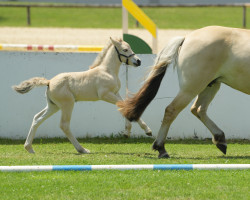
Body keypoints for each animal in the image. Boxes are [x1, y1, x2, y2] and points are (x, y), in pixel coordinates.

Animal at [13, 37, 151, 153]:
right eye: (125, 49)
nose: (138, 61)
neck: (107, 71)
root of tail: (49, 82)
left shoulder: (115, 93)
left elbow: (125, 106)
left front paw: (130, 132)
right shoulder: (105, 95)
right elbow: (125, 106)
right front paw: (144, 131)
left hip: (53, 106)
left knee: (37, 119)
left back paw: (29, 148)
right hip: (67, 104)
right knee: (64, 125)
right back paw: (82, 149)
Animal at [118, 26, 250, 158]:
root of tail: (187, 37)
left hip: (210, 85)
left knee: (198, 109)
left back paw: (220, 139)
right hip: (191, 88)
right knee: (172, 110)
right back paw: (161, 148)